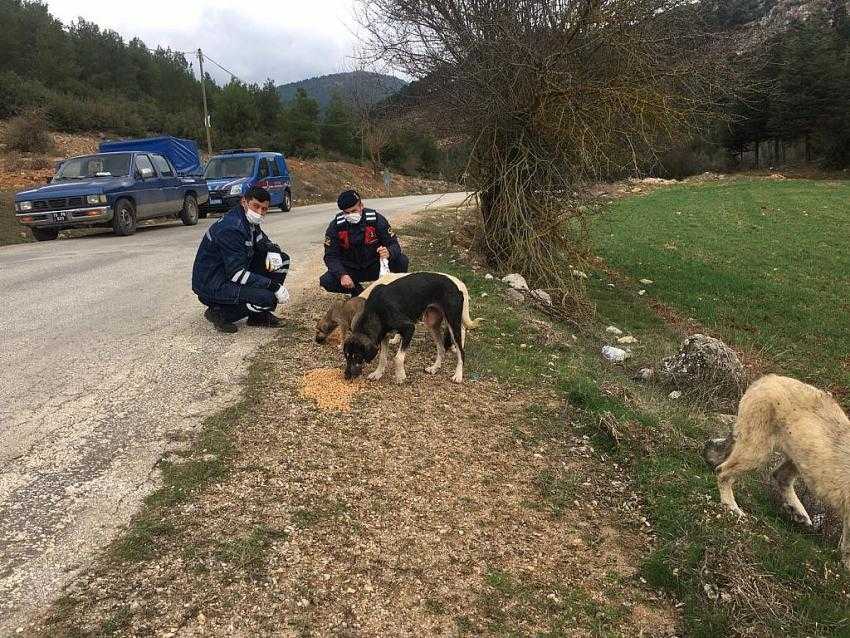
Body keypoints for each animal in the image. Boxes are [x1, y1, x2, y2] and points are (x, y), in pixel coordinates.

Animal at [342, 272, 476, 384]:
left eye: (358, 356)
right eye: (346, 356)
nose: (346, 376)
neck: (376, 310)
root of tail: (457, 285)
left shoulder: (409, 329)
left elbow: (398, 358)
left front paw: (400, 376)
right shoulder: (384, 336)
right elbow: (382, 357)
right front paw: (378, 373)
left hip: (453, 323)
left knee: (461, 351)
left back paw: (458, 375)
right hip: (431, 323)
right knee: (441, 348)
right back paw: (434, 368)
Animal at [704, 376, 848, 568]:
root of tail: (764, 379)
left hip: (798, 457)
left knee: (779, 476)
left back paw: (799, 512)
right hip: (757, 453)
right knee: (722, 471)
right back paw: (732, 507)